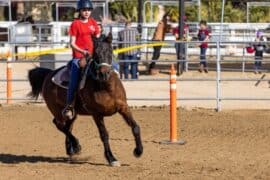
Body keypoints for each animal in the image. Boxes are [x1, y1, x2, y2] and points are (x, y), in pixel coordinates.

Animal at [28, 33, 143, 166]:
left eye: (110, 51)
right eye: (95, 53)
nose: (104, 74)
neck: (105, 87)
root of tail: (49, 74)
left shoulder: (123, 107)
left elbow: (135, 127)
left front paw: (138, 151)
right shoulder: (96, 114)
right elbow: (104, 135)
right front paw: (112, 158)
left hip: (72, 113)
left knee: (68, 126)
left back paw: (71, 150)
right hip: (56, 110)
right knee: (59, 125)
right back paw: (76, 145)